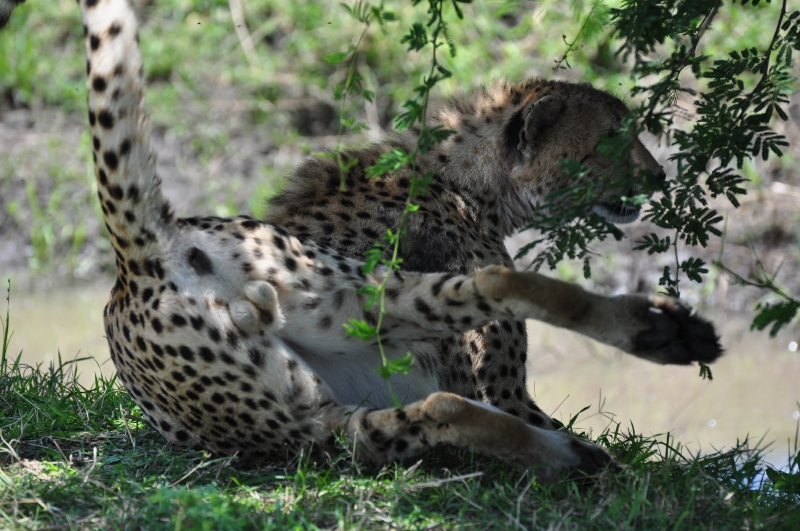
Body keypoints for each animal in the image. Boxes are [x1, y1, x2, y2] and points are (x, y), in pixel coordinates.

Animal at [34, 0, 722, 484]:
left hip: (336, 341)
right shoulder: (504, 390)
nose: (658, 178)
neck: (466, 180)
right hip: (310, 411)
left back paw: (657, 340)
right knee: (449, 398)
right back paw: (583, 438)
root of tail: (141, 263)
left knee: (475, 329)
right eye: (612, 139)